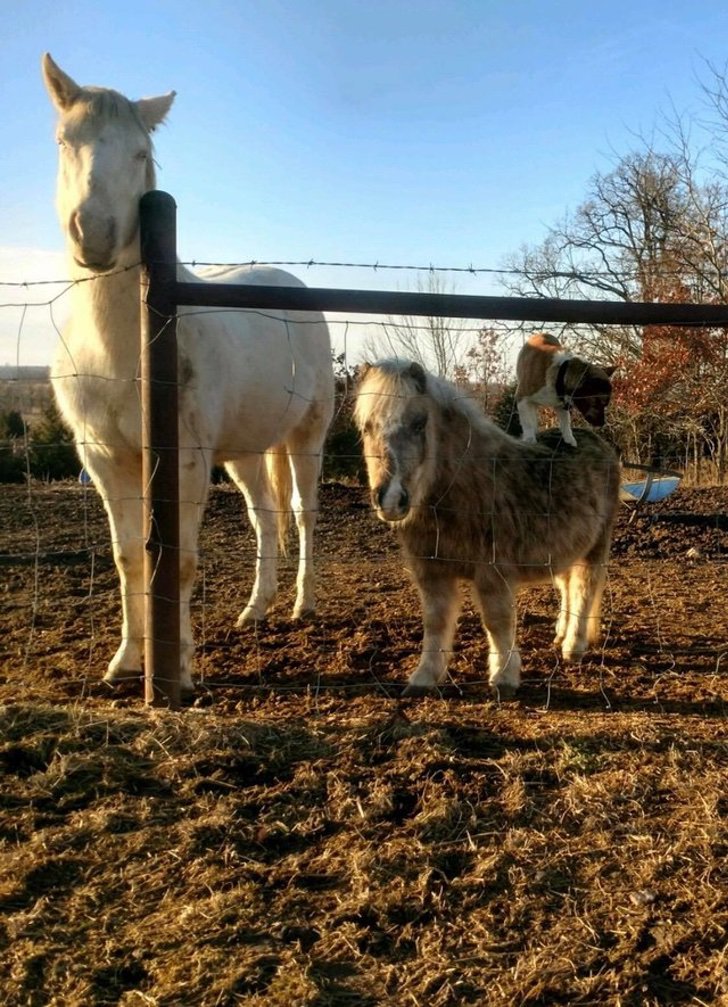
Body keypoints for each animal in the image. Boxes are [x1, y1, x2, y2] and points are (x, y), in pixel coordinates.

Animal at [42, 51, 332, 688]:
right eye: (64, 141)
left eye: (140, 153)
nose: (93, 234)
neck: (126, 349)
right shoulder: (105, 461)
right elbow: (130, 558)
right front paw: (127, 661)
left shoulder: (186, 461)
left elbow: (180, 559)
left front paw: (179, 666)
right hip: (246, 450)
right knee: (263, 516)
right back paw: (255, 609)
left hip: (308, 434)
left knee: (303, 514)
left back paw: (301, 605)